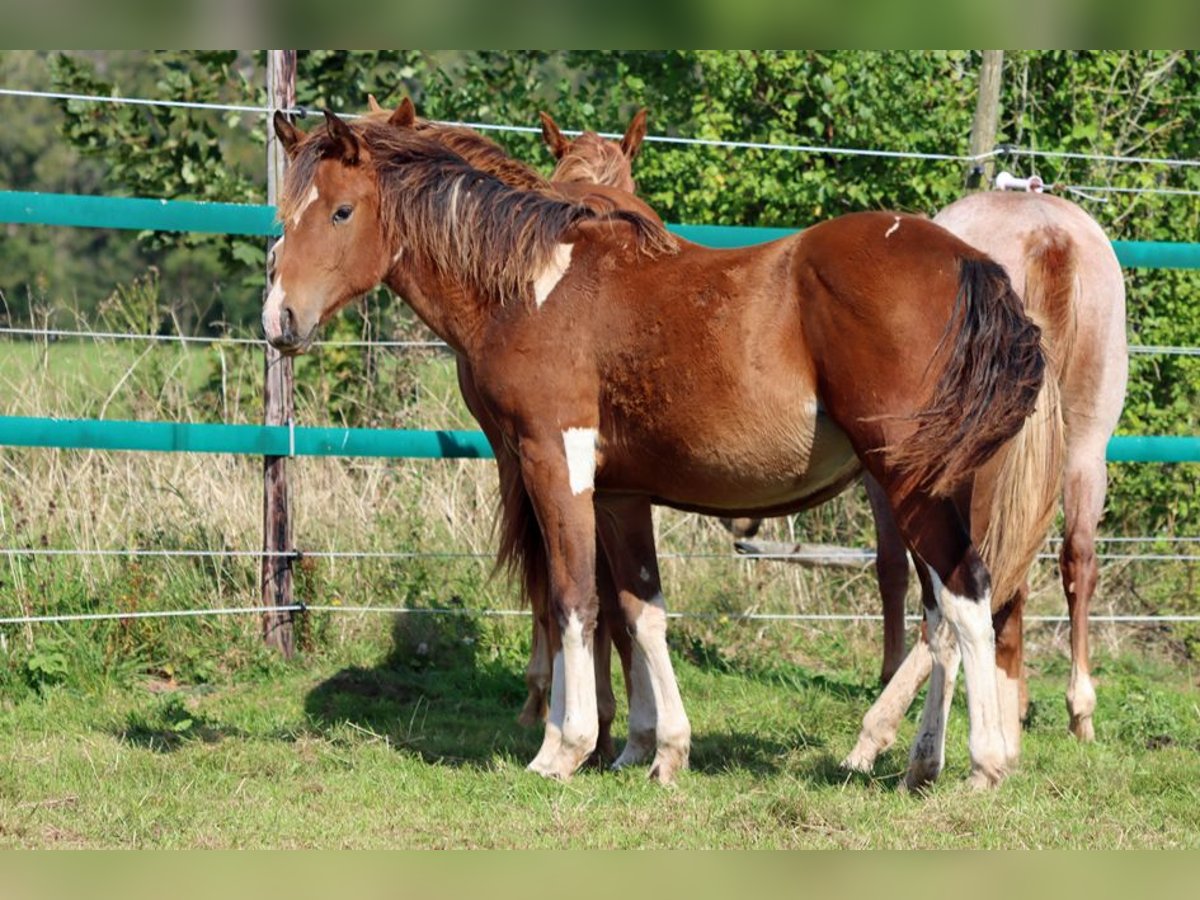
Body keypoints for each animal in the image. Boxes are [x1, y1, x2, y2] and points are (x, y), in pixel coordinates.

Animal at [265, 111, 1051, 787]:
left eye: (340, 212)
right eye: (283, 213)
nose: (280, 320)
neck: (533, 286)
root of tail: (969, 262)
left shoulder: (554, 463)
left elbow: (574, 598)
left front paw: (565, 746)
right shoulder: (618, 493)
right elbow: (639, 610)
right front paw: (660, 749)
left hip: (909, 484)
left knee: (967, 595)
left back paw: (982, 764)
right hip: (932, 487)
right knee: (943, 613)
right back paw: (921, 762)